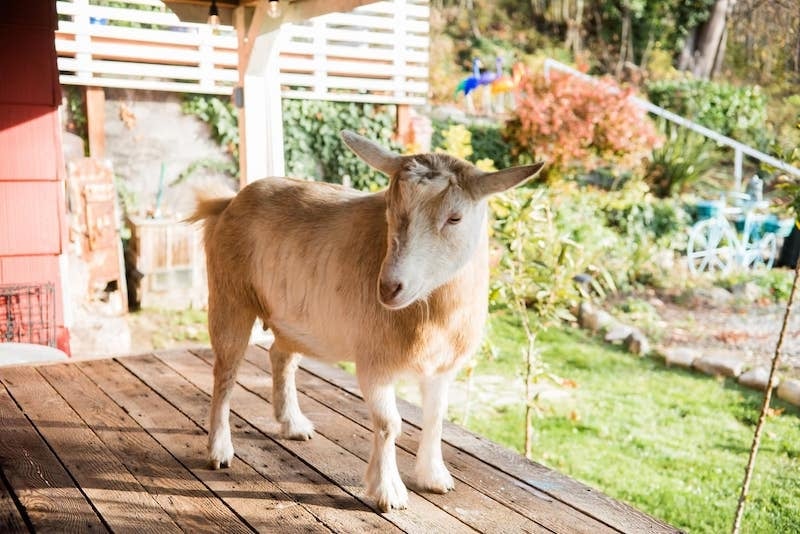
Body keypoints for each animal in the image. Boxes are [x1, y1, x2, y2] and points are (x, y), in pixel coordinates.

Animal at [189, 131, 544, 516]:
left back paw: (293, 423)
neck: (432, 314)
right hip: (230, 297)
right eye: (390, 206)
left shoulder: (442, 367)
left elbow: (435, 418)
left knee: (280, 357)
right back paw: (220, 450)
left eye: (455, 218)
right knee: (225, 373)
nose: (389, 288)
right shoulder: (374, 361)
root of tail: (228, 202)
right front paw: (388, 490)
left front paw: (434, 477)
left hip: (293, 319)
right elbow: (390, 424)